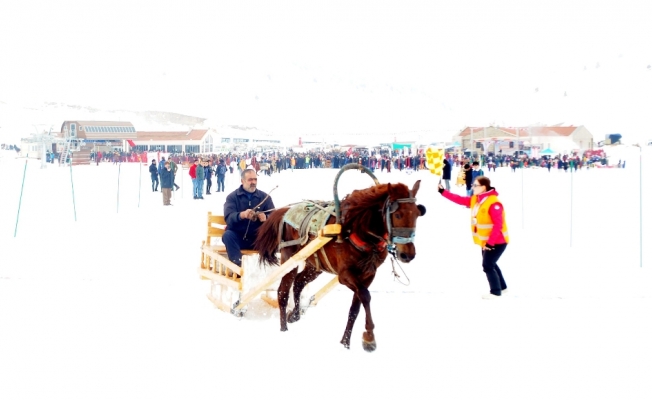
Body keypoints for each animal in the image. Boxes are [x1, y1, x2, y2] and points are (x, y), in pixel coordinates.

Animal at [252, 180, 426, 352]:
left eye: (417, 214)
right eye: (397, 215)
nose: (408, 254)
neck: (357, 228)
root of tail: (286, 210)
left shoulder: (368, 275)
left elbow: (355, 308)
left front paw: (346, 343)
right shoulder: (345, 275)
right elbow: (365, 295)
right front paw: (369, 337)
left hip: (315, 265)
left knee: (299, 282)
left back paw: (295, 314)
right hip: (290, 258)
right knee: (283, 291)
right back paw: (283, 328)